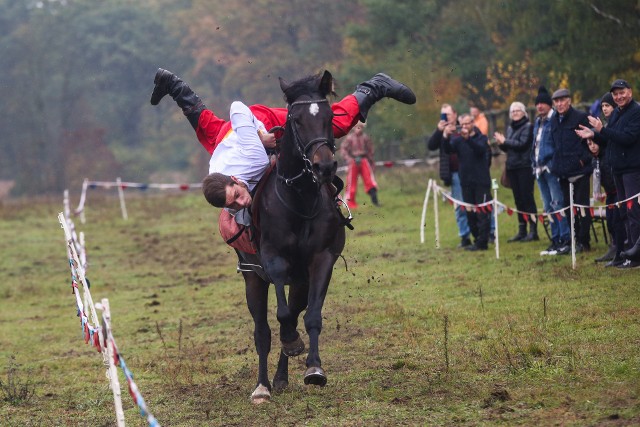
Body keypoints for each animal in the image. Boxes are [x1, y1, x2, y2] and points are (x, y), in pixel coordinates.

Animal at [235, 71, 344, 404]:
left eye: (330, 116)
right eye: (296, 119)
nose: (324, 166)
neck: (300, 198)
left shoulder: (321, 261)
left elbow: (310, 317)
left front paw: (314, 368)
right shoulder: (273, 260)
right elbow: (281, 315)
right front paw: (291, 343)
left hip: (300, 280)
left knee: (296, 313)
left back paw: (281, 376)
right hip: (253, 277)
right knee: (263, 331)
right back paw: (263, 386)